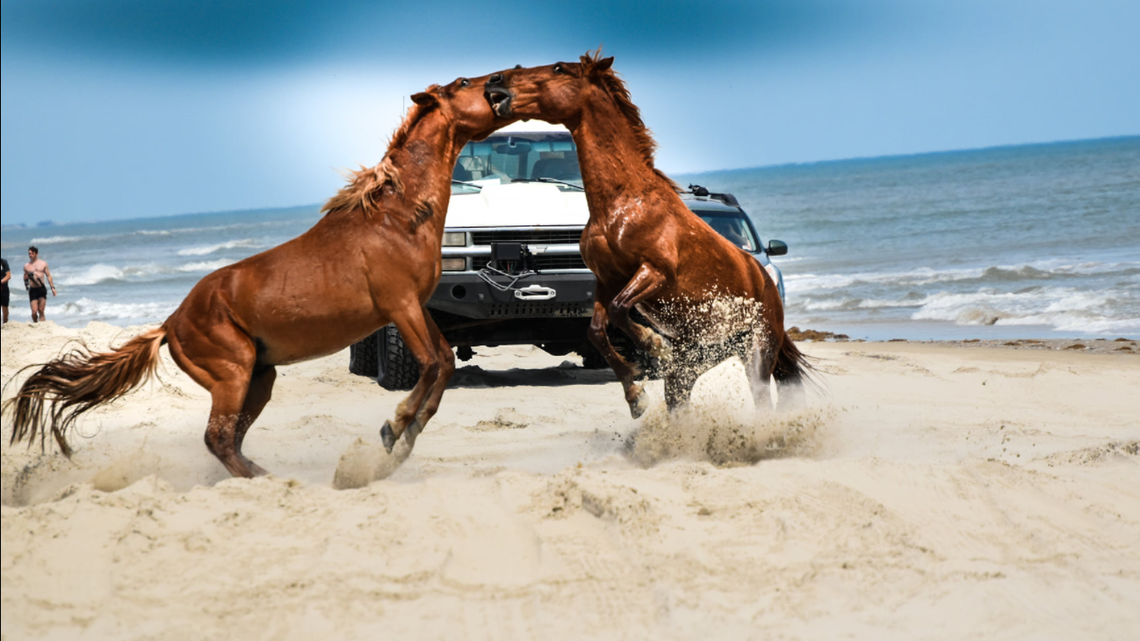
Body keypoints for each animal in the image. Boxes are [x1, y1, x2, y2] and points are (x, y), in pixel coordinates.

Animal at [4, 73, 507, 477]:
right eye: (465, 82)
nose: (502, 84)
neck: (395, 216)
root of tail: (170, 323)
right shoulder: (400, 307)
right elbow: (433, 365)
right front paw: (394, 431)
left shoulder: (417, 308)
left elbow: (443, 364)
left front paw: (403, 436)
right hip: (232, 374)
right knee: (218, 437)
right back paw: (265, 481)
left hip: (258, 379)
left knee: (231, 439)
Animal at [484, 52, 811, 417]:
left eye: (558, 68)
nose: (495, 81)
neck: (623, 203)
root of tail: (766, 283)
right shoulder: (606, 279)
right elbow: (597, 330)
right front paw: (635, 396)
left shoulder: (654, 272)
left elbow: (619, 309)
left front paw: (653, 344)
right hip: (696, 361)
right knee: (679, 398)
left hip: (757, 351)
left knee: (762, 398)